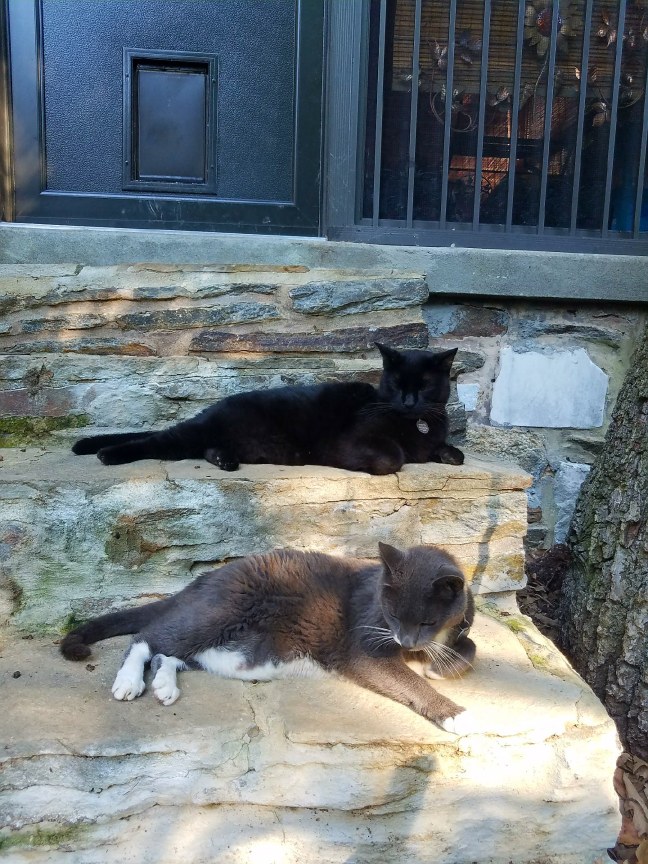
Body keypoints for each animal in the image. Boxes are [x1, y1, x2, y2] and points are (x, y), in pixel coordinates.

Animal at [61, 542, 476, 733]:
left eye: (426, 621)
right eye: (393, 615)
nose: (406, 641)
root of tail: (204, 579)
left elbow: (468, 648)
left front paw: (439, 665)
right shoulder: (364, 646)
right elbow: (407, 679)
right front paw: (454, 712)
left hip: (230, 646)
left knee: (174, 653)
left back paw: (164, 686)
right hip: (222, 610)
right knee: (149, 638)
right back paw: (129, 682)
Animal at [71, 343, 464, 474]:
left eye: (424, 386)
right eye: (397, 384)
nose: (409, 402)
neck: (415, 425)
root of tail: (210, 410)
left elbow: (448, 450)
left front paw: (449, 453)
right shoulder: (352, 441)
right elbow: (394, 456)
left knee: (206, 448)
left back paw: (224, 460)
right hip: (187, 435)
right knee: (155, 442)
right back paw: (108, 454)